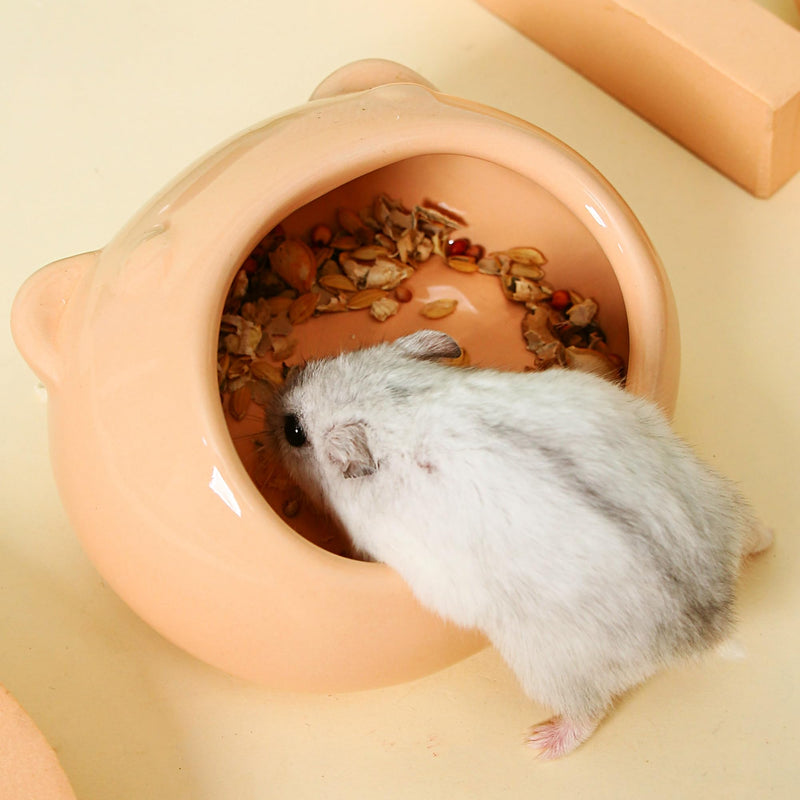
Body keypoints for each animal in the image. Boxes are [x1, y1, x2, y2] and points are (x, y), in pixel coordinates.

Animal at [264, 329, 772, 758]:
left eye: (294, 431)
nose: (270, 404)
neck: (394, 407)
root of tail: (711, 626)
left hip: (548, 667)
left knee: (589, 711)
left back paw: (541, 744)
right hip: (713, 491)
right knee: (755, 530)